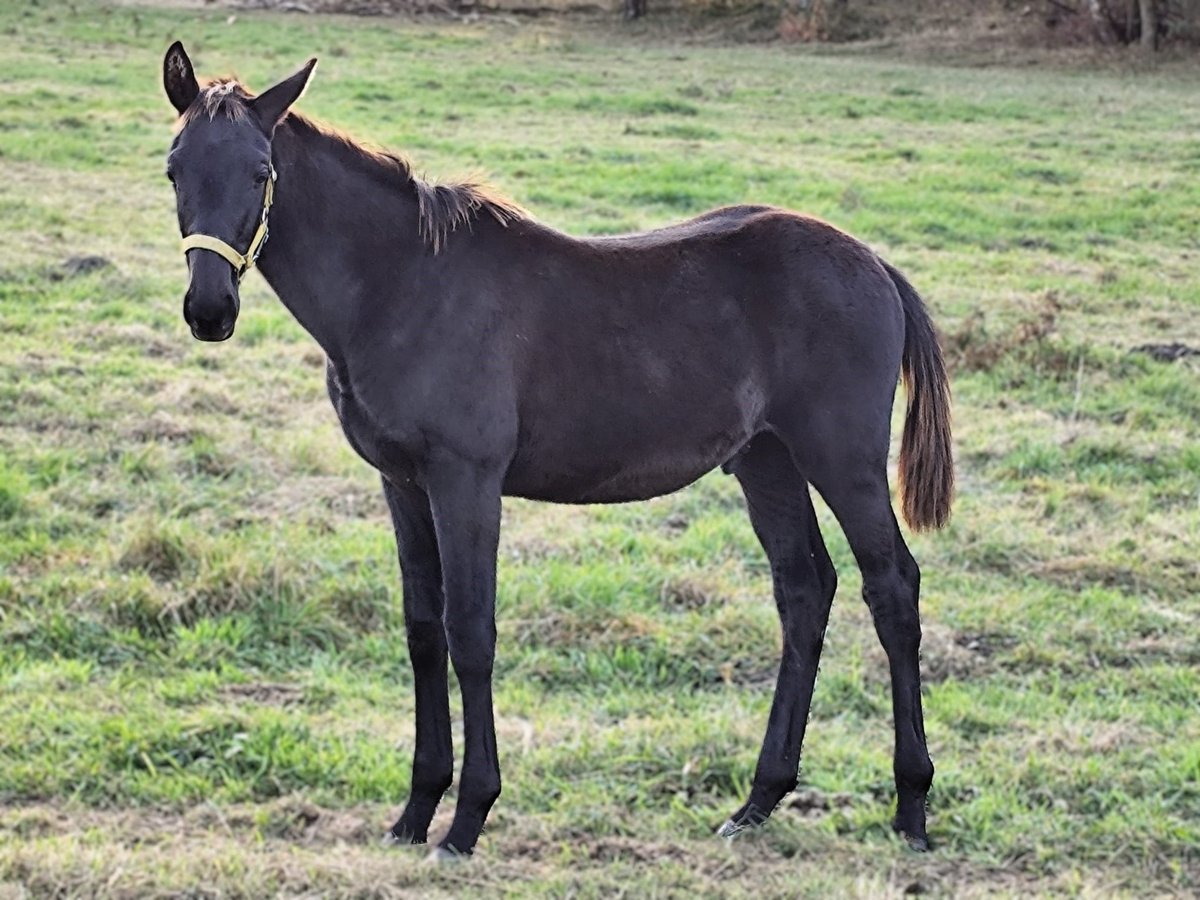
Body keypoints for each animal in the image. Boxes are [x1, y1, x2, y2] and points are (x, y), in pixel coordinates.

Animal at [164, 42, 955, 859]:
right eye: (174, 169)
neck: (403, 284)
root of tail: (876, 266)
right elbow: (423, 631)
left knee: (891, 588)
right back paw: (758, 800)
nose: (209, 310)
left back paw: (911, 807)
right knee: (803, 589)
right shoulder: (403, 484)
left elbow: (470, 631)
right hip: (766, 460)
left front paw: (468, 818)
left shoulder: (466, 481)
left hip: (843, 461)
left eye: (261, 172)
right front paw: (415, 812)